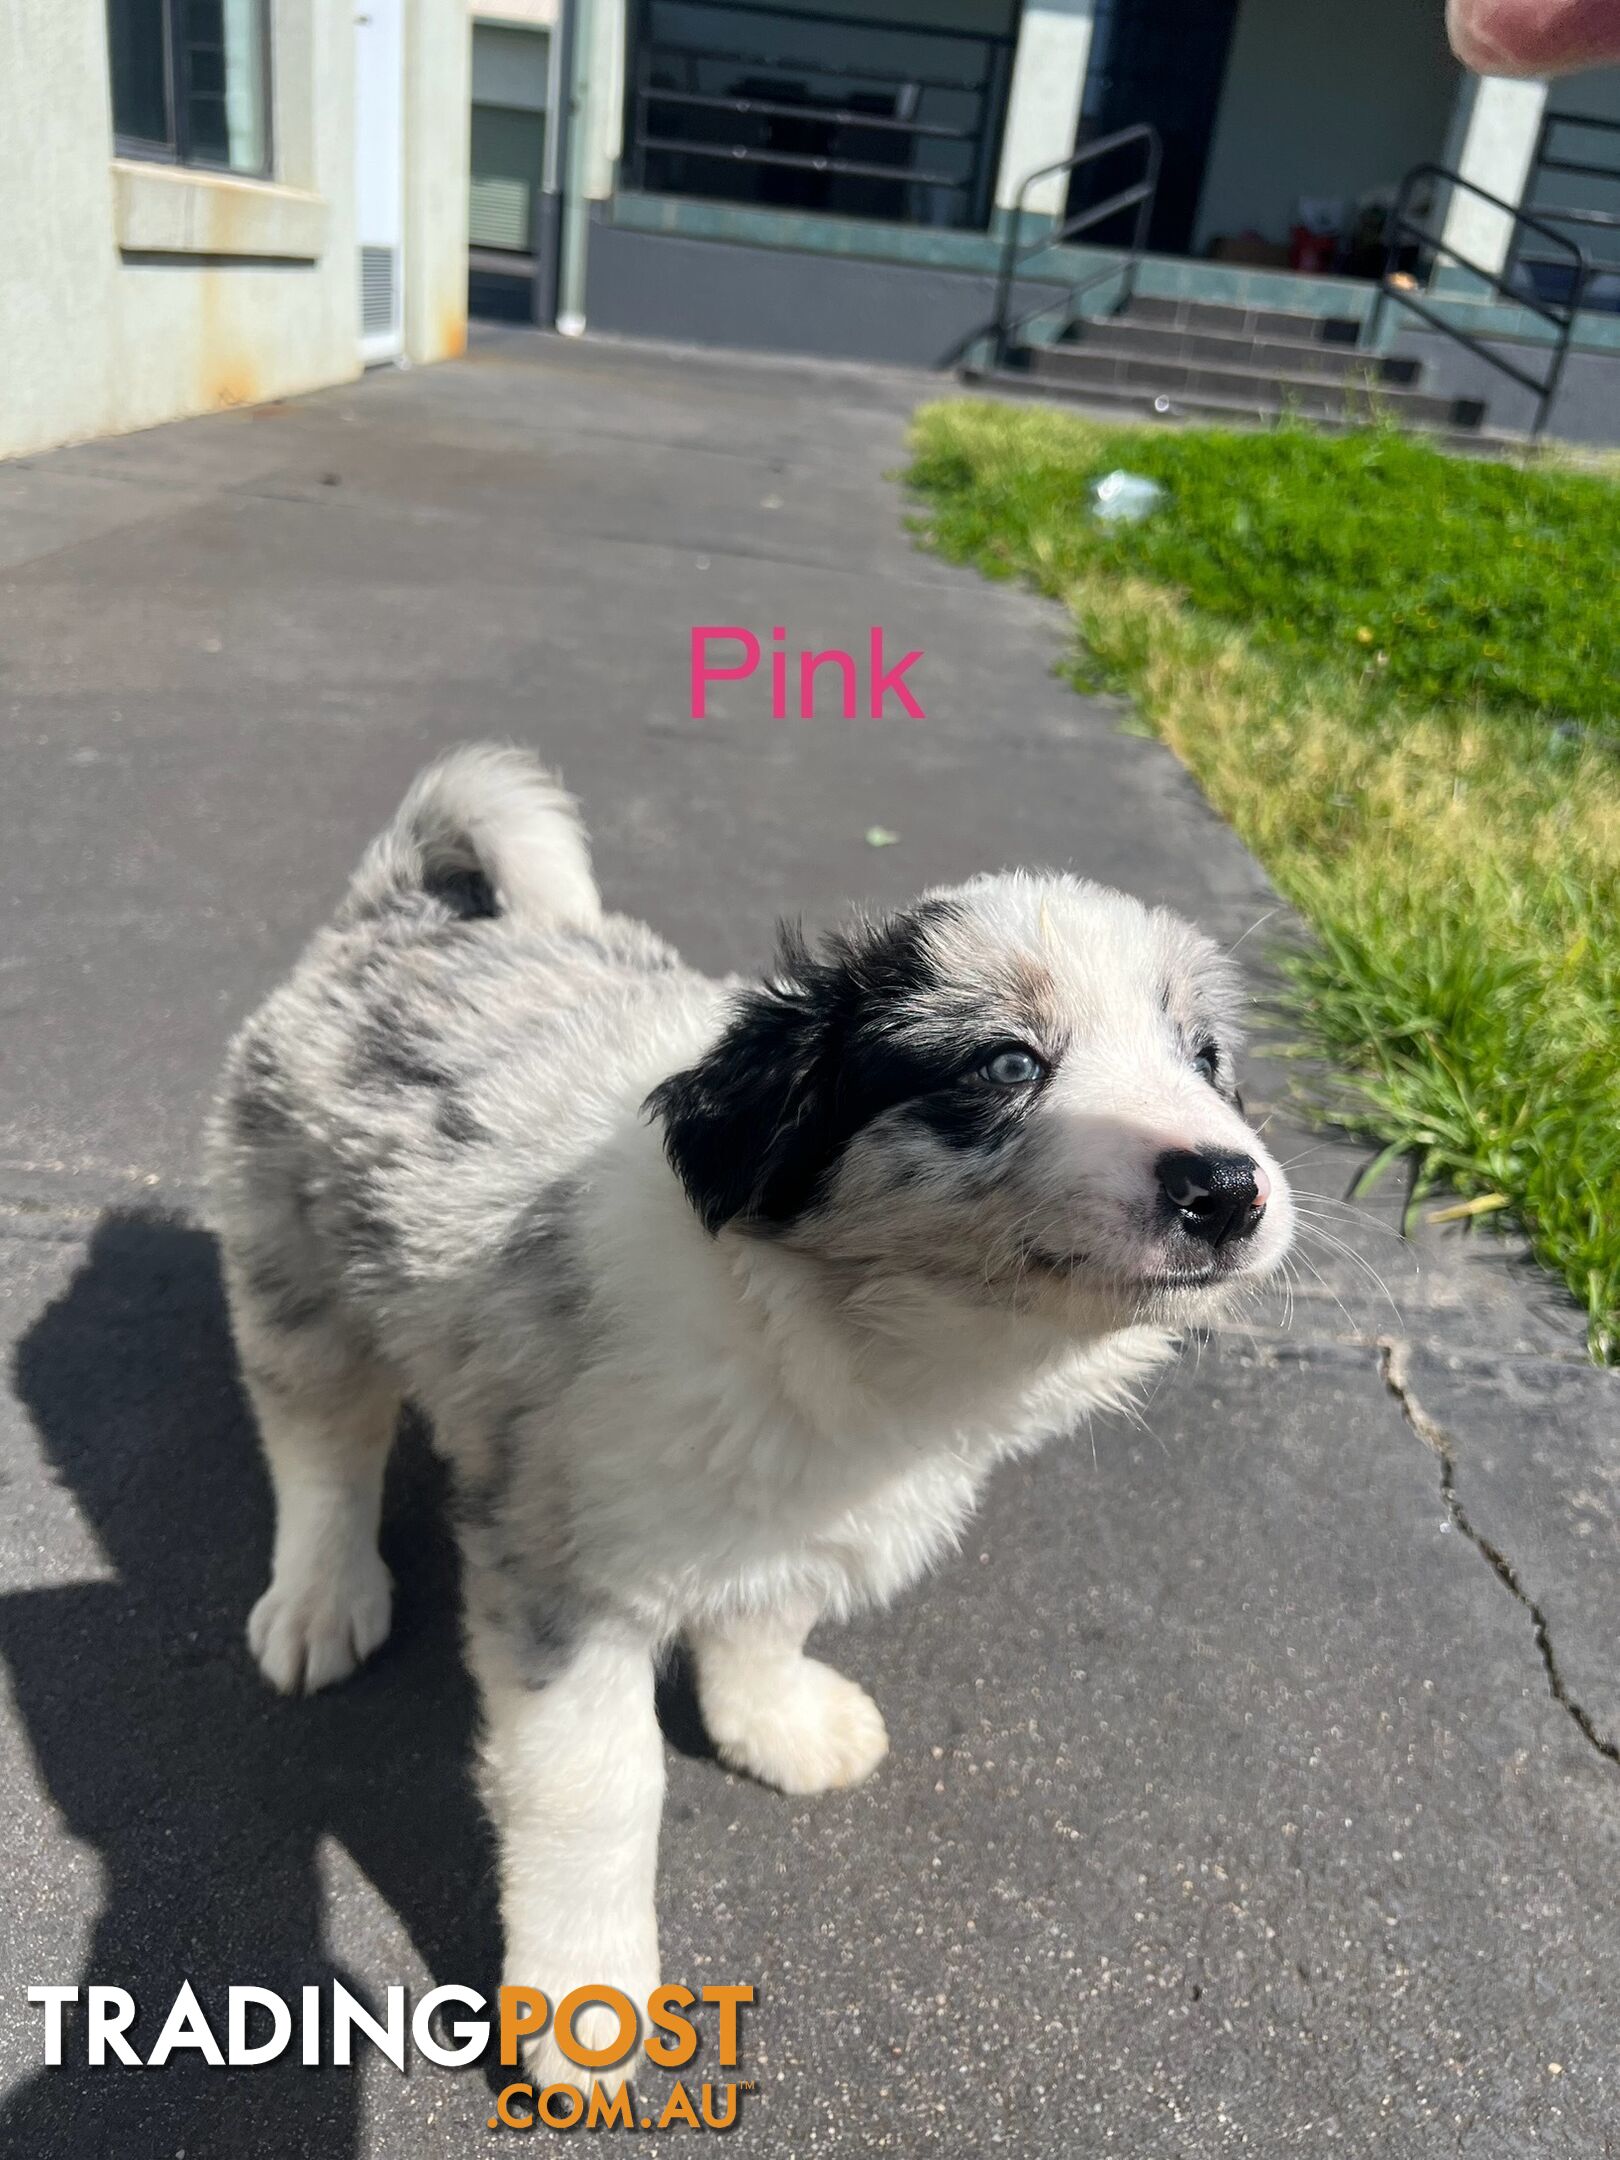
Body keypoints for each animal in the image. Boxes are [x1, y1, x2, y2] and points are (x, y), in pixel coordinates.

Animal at [209, 743, 1304, 2073]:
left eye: (1207, 1060)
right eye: (1006, 1064)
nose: (1229, 1189)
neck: (847, 1326)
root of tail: (401, 911)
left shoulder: (806, 1506)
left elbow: (769, 1614)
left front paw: (773, 1723)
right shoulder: (564, 1568)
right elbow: (601, 1786)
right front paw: (586, 2003)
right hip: (292, 1260)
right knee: (321, 1438)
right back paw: (320, 1597)